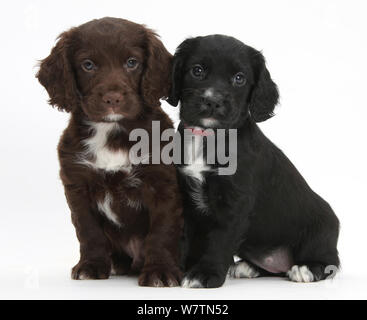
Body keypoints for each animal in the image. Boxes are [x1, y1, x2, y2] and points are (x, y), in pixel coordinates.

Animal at [168, 35, 340, 288]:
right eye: (197, 70)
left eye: (239, 78)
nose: (212, 101)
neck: (208, 137)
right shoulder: (186, 197)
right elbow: (185, 238)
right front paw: (178, 269)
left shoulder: (234, 203)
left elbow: (219, 240)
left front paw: (204, 273)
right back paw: (247, 267)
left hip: (321, 230)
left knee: (331, 262)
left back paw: (307, 269)